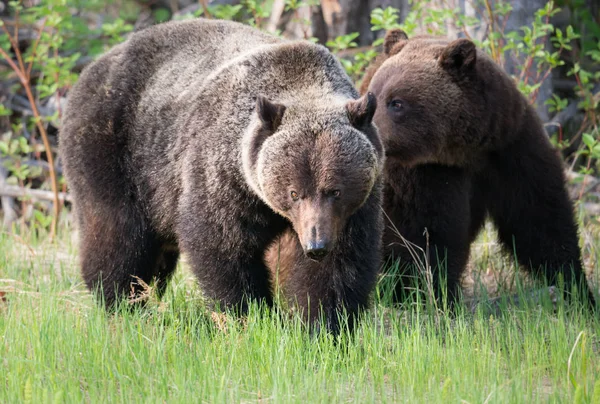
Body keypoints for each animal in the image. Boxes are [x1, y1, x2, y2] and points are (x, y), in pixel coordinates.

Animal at [61, 18, 384, 334]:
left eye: (335, 190)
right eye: (294, 192)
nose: (316, 246)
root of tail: (92, 68)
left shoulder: (355, 209)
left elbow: (340, 266)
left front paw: (326, 324)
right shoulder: (221, 176)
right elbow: (223, 248)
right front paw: (251, 315)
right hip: (114, 151)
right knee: (117, 234)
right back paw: (122, 303)